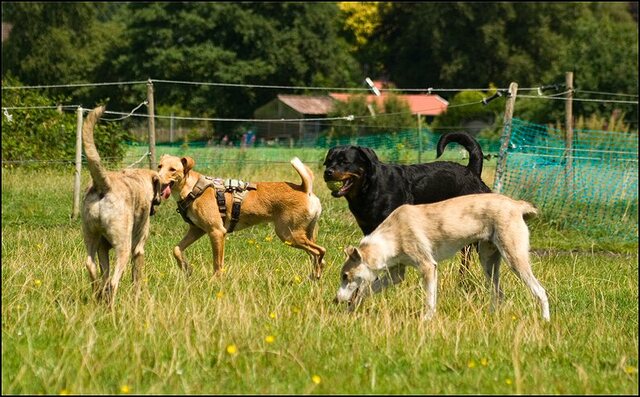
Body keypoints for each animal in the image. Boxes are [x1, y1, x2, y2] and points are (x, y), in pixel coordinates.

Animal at [81, 105, 171, 304]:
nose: (157, 203)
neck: (137, 177)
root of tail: (104, 185)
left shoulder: (103, 248)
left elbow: (104, 272)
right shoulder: (138, 248)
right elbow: (136, 278)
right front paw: (137, 299)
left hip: (91, 236)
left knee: (93, 268)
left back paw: (98, 298)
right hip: (123, 246)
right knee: (113, 282)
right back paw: (110, 306)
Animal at [155, 152, 324, 278]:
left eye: (172, 169)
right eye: (159, 166)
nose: (157, 179)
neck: (192, 188)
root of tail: (305, 189)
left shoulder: (216, 232)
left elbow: (217, 263)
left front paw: (215, 281)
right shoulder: (197, 230)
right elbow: (177, 249)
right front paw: (186, 268)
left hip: (288, 234)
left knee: (320, 252)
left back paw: (316, 275)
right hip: (304, 234)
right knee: (316, 257)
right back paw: (313, 277)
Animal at [322, 131, 492, 270]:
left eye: (345, 162)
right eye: (328, 161)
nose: (328, 172)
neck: (369, 188)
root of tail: (472, 171)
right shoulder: (368, 228)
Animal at [336, 193, 552, 322]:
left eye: (345, 276)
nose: (335, 300)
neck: (391, 236)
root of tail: (516, 205)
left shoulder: (428, 267)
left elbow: (430, 300)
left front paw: (426, 320)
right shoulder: (396, 275)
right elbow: (366, 291)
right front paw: (351, 310)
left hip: (514, 259)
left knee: (540, 291)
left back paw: (545, 320)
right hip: (488, 262)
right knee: (499, 293)